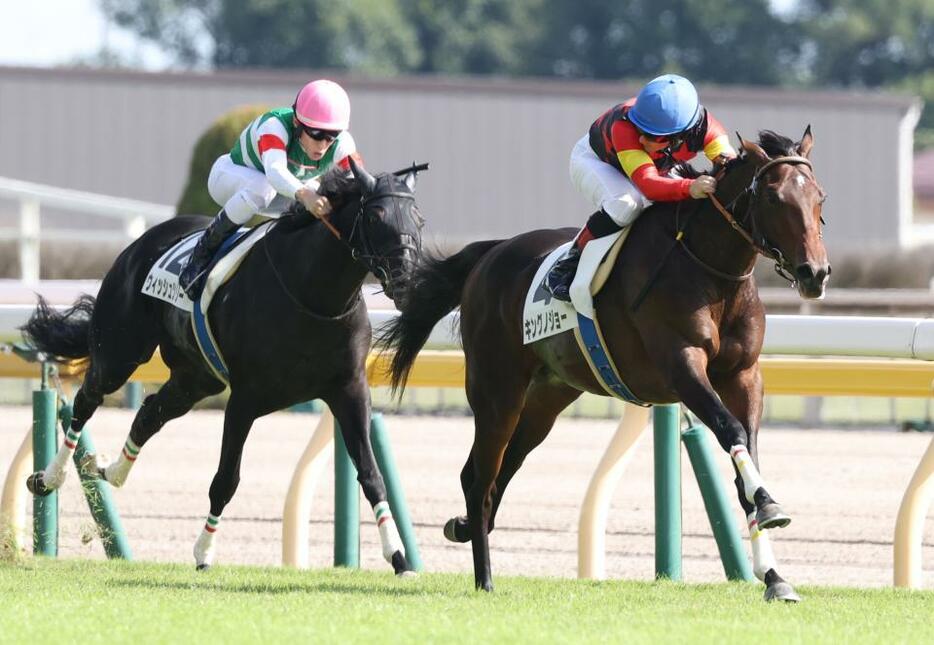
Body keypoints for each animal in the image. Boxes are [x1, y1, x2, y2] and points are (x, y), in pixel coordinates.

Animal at [22, 161, 424, 572]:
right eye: (375, 216)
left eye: (418, 219)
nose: (408, 280)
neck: (312, 296)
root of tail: (141, 243)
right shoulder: (245, 398)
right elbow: (226, 479)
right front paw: (203, 552)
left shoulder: (349, 389)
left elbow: (372, 475)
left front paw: (399, 558)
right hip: (120, 352)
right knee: (86, 400)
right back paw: (49, 477)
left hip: (196, 378)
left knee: (150, 413)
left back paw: (112, 471)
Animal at [380, 127, 832, 600]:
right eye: (774, 198)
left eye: (820, 197)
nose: (814, 273)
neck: (709, 268)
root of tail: (491, 253)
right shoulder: (682, 366)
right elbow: (731, 431)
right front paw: (769, 504)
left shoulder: (744, 375)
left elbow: (746, 454)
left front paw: (775, 574)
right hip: (496, 390)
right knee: (479, 476)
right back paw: (484, 577)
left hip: (548, 397)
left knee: (503, 468)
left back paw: (465, 526)